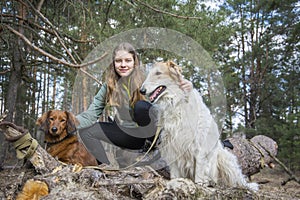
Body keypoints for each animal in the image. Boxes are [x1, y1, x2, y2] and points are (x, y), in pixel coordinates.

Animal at [141, 61, 258, 191]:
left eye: (158, 73)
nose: (141, 90)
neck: (176, 102)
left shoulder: (199, 145)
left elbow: (199, 170)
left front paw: (199, 184)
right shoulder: (172, 145)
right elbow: (175, 173)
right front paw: (175, 182)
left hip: (225, 159)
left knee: (235, 181)